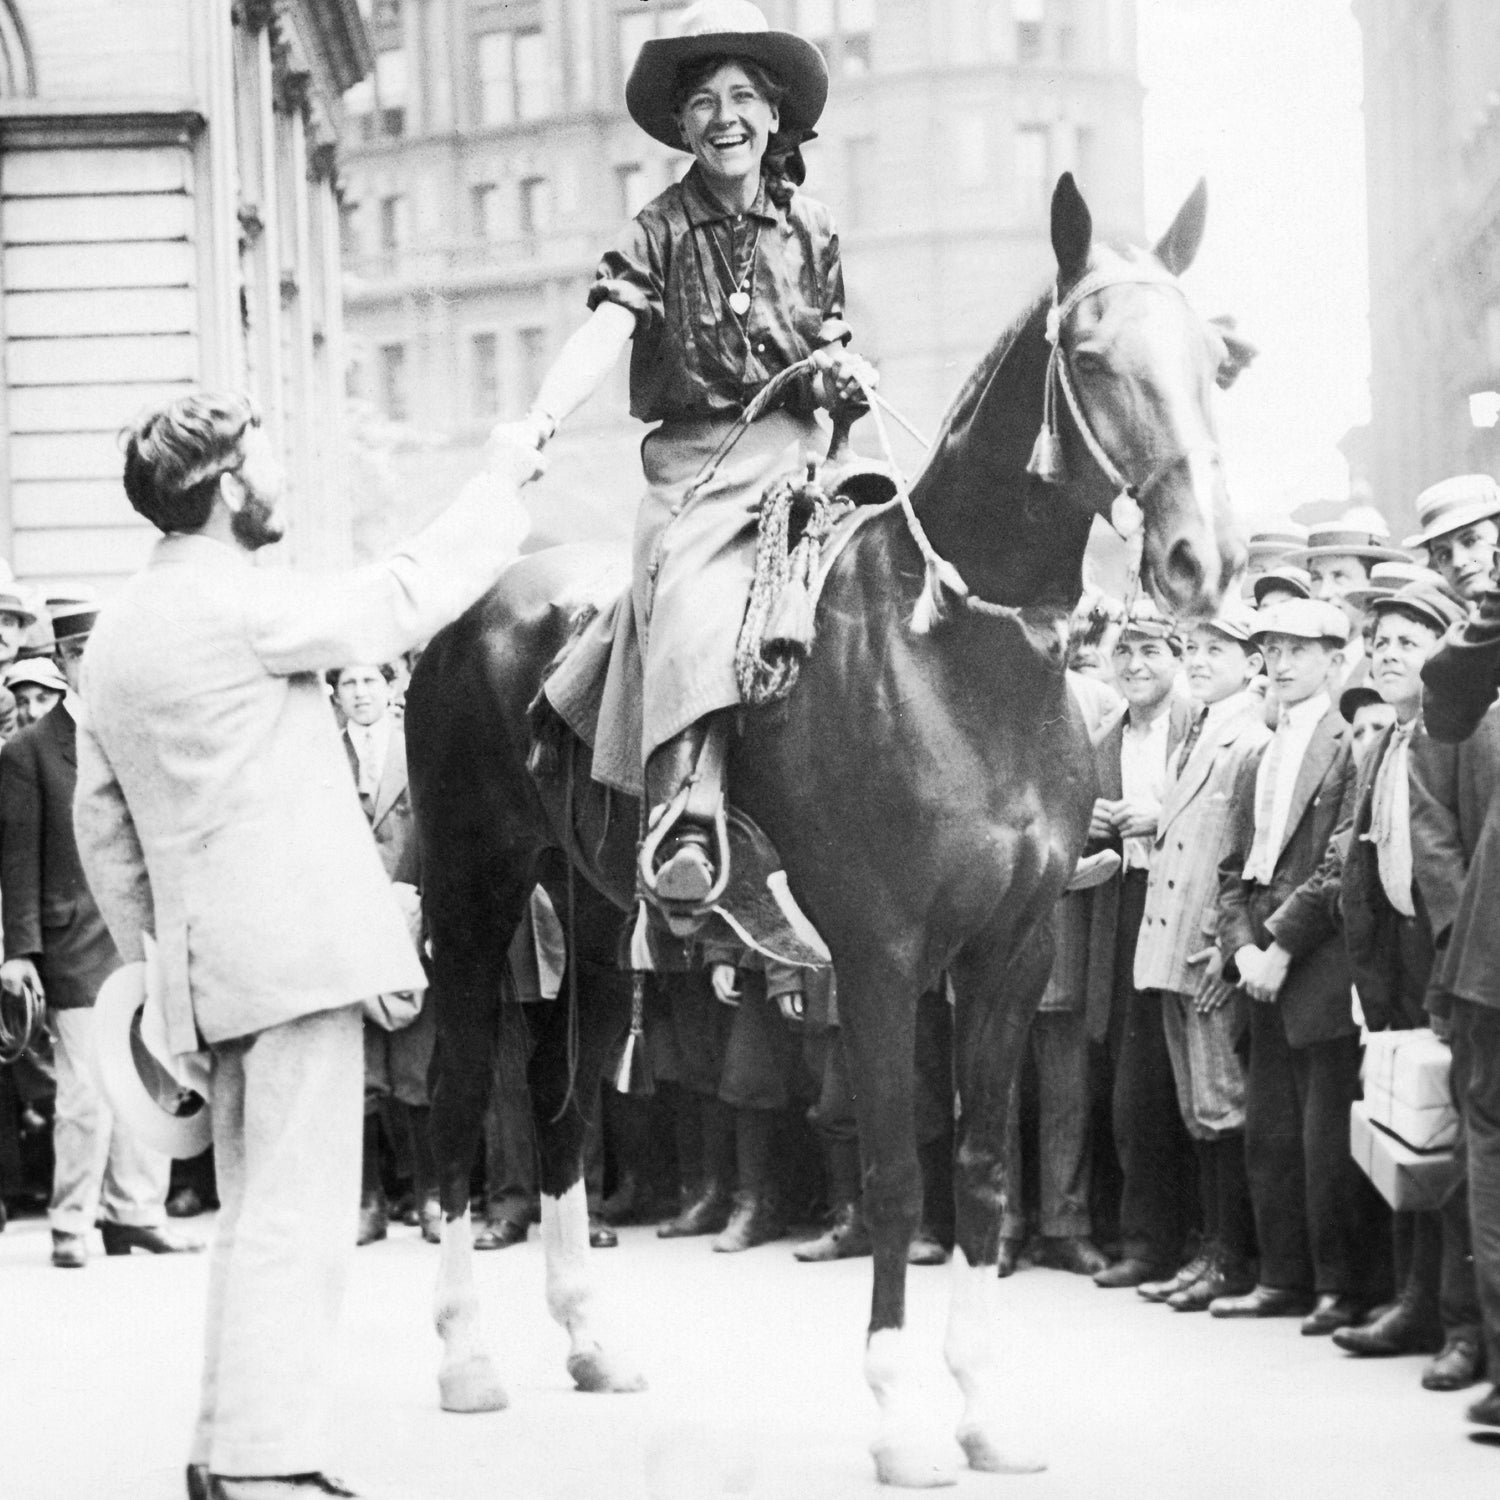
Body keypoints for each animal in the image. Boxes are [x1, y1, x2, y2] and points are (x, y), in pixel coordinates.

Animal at [405, 175, 1248, 1488]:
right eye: (1096, 354)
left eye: (1215, 360)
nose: (1202, 558)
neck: (957, 655)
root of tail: (475, 610)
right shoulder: (884, 959)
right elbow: (899, 1174)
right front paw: (901, 1414)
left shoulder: (1012, 955)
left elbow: (980, 1173)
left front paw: (983, 1407)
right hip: (472, 889)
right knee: (454, 1101)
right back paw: (463, 1356)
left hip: (593, 908)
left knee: (561, 1103)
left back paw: (588, 1337)